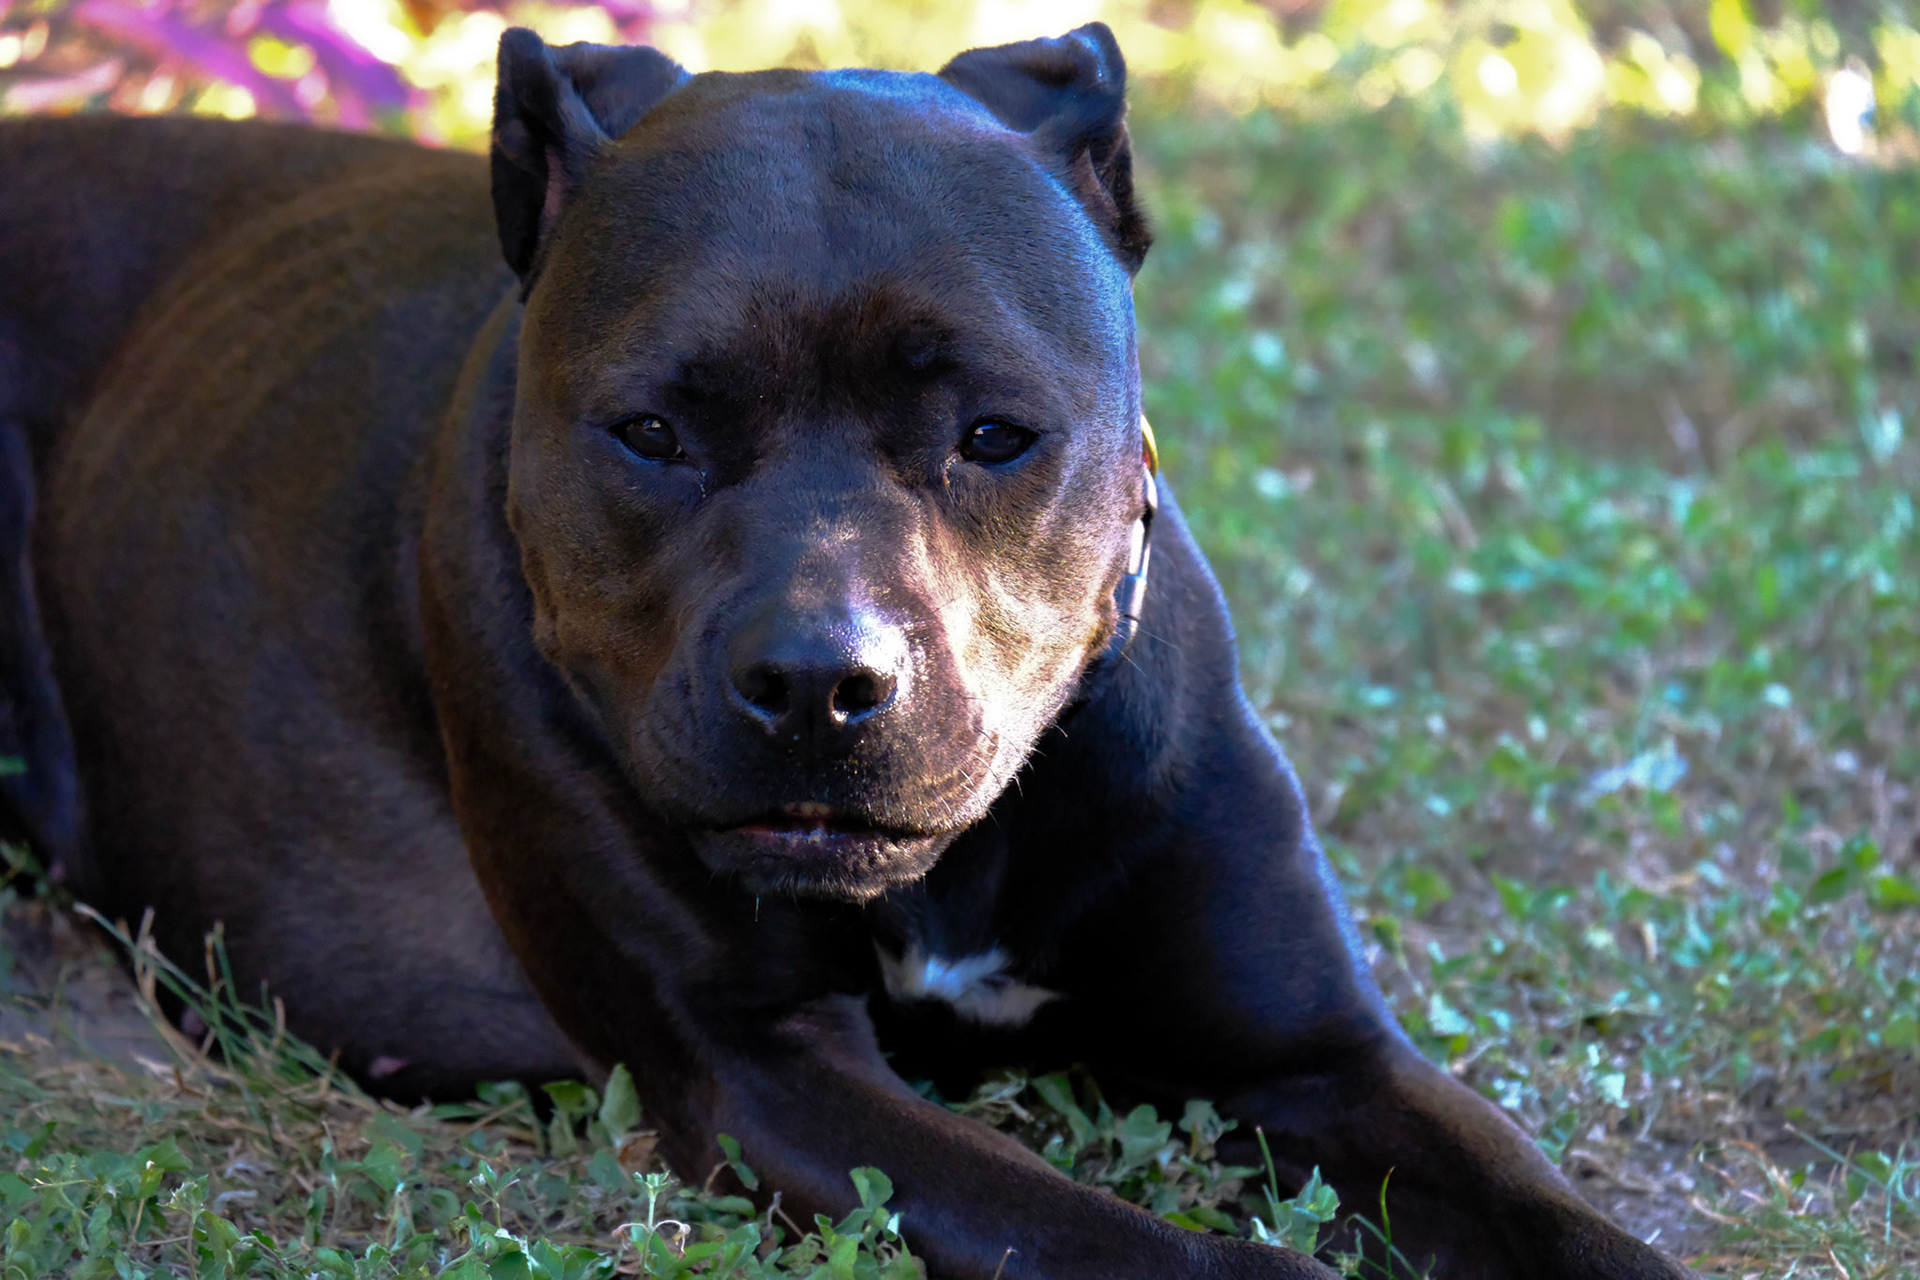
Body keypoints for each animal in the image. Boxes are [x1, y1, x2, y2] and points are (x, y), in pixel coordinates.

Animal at [0, 24, 1694, 1279]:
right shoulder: (762, 1071)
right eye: (653, 431)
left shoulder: (1319, 1056)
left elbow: (1572, 1227)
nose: (821, 682)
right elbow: (1148, 1249)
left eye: (995, 433)